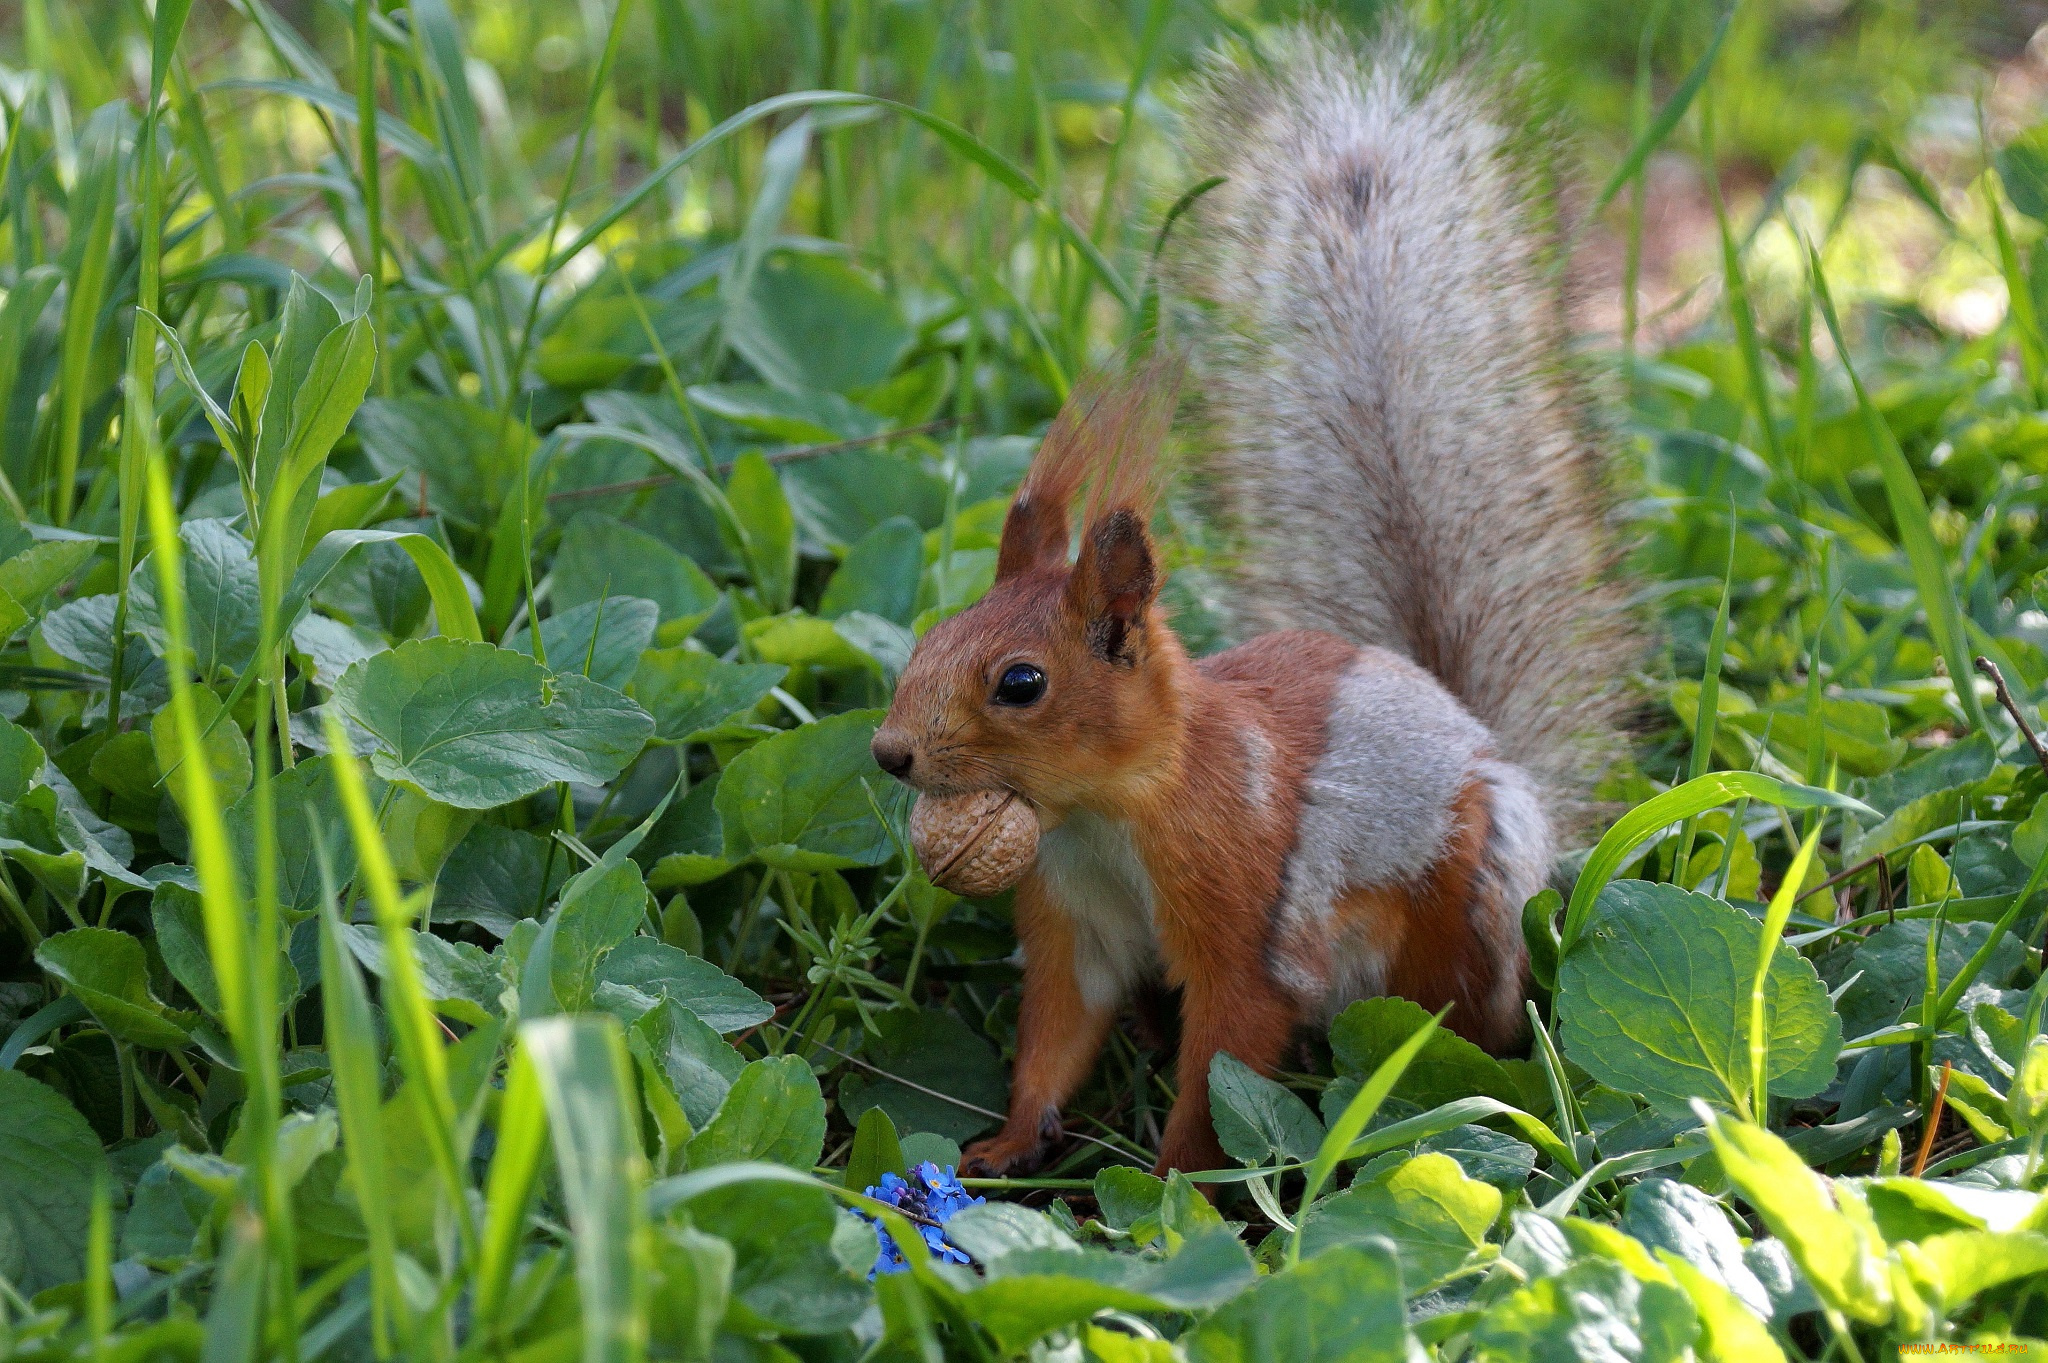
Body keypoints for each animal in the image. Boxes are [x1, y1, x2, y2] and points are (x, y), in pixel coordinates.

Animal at [872, 18, 1638, 1170]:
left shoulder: (1239, 911)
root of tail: (1486, 742)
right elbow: (1056, 1034)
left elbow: (1223, 1058)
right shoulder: (1075, 920)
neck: (1104, 813)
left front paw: (1173, 1184)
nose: (891, 753)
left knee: (1463, 1022)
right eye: (926, 636)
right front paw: (1002, 1148)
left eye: (1020, 682)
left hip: (1456, 913)